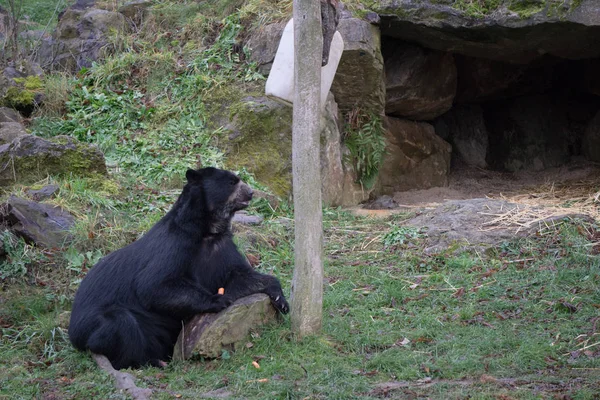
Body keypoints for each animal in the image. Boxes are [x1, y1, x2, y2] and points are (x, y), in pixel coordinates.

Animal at [69, 167, 290, 370]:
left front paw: (280, 299)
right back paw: (150, 361)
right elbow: (153, 285)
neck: (207, 231)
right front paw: (219, 299)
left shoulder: (222, 247)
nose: (251, 192)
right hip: (96, 325)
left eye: (238, 180)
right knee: (122, 324)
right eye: (231, 182)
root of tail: (73, 331)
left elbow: (239, 275)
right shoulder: (175, 244)